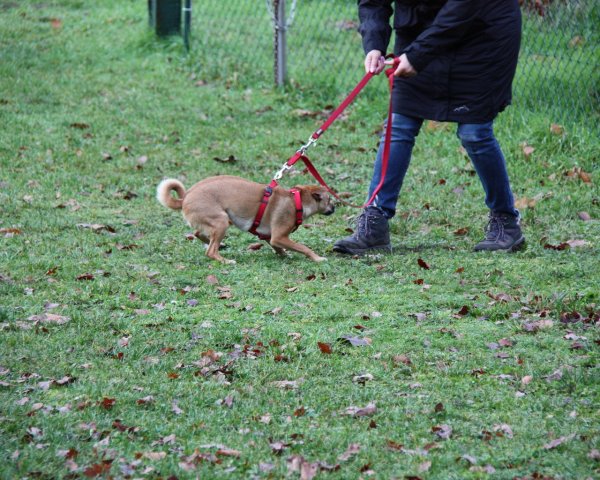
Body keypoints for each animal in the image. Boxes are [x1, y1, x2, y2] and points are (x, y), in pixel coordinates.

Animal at [156, 176, 332, 262]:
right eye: (330, 199)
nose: (335, 208)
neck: (296, 201)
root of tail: (185, 197)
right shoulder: (279, 237)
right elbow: (303, 247)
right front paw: (317, 258)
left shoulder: (270, 237)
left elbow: (278, 248)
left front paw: (283, 255)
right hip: (221, 221)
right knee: (210, 251)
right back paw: (225, 261)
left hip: (218, 220)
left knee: (199, 233)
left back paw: (217, 244)